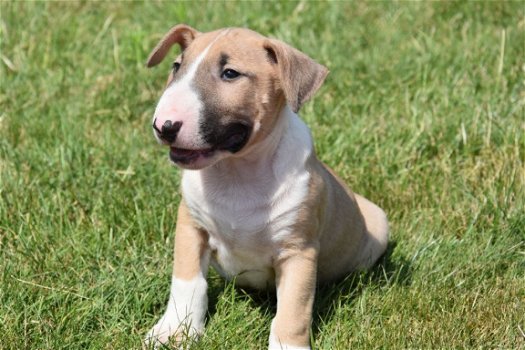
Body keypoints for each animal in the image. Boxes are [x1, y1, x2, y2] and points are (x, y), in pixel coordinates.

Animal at [144, 23, 388, 348]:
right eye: (176, 67)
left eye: (230, 73)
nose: (164, 127)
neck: (237, 174)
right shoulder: (190, 226)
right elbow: (187, 282)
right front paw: (174, 331)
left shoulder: (299, 251)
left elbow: (293, 311)